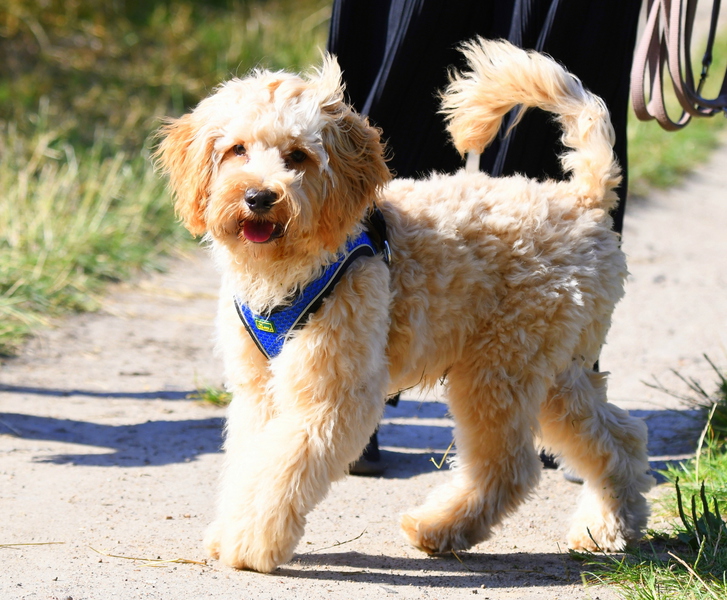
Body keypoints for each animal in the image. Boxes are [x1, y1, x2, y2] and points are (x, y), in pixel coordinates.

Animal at [155, 38, 654, 573]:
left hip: (500, 368)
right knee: (619, 438)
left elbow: (282, 468)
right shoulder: (259, 390)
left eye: (298, 155)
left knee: (509, 466)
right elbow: (252, 460)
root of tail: (582, 201)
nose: (258, 197)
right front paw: (229, 530)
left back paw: (440, 526)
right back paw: (606, 525)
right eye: (237, 149)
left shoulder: (332, 393)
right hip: (554, 371)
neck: (288, 272)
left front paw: (249, 544)